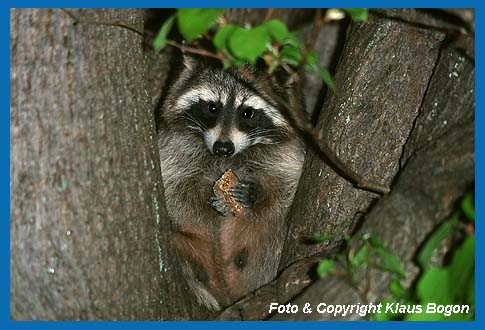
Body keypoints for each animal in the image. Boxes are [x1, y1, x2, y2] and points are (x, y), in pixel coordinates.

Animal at [157, 55, 304, 310]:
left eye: (247, 113)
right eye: (212, 107)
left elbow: (287, 186)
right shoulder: (174, 149)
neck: (227, 160)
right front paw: (209, 199)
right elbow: (174, 191)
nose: (223, 148)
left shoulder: (287, 155)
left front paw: (253, 195)